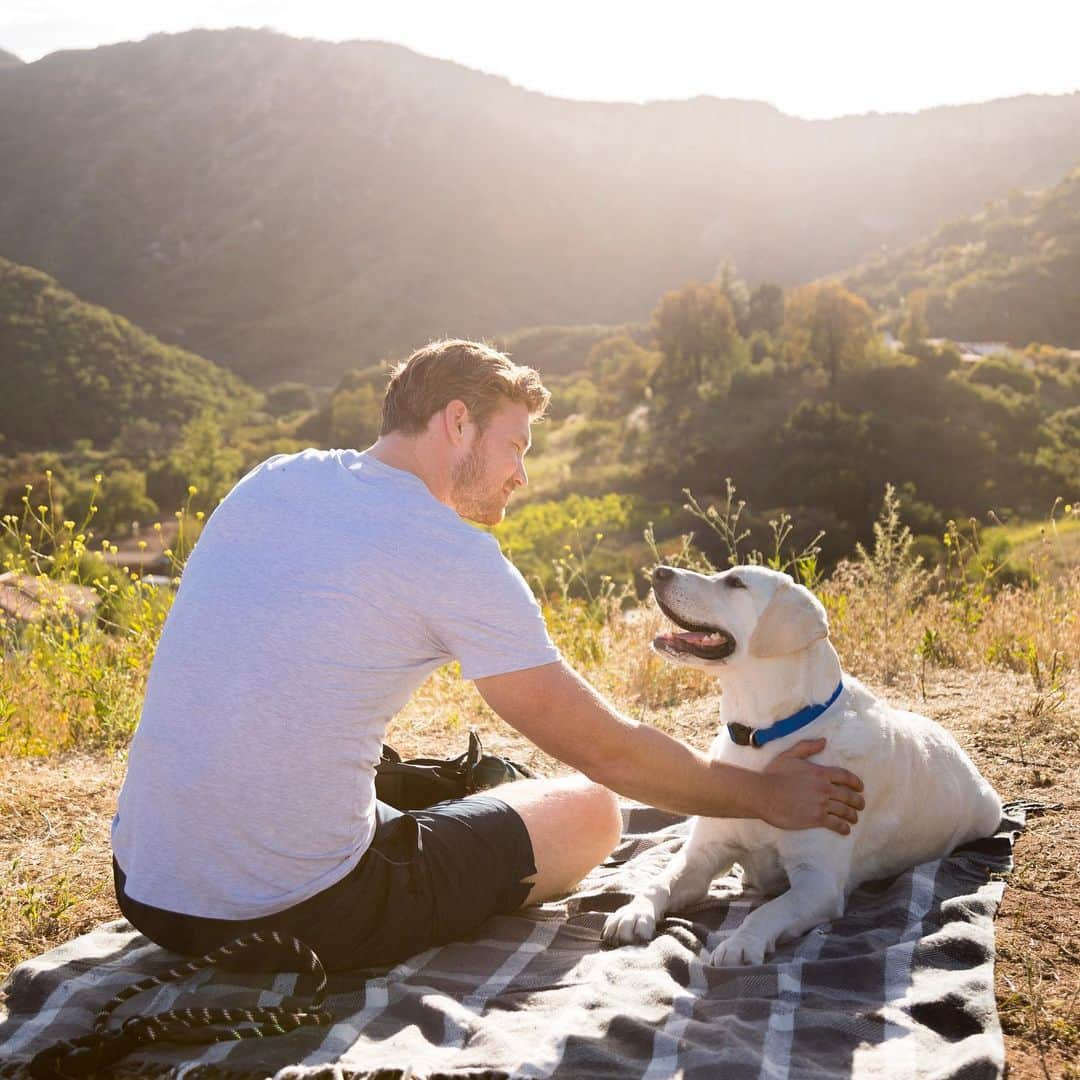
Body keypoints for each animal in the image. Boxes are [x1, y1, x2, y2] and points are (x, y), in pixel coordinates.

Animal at [600, 570, 1002, 967]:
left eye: (735, 583)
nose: (658, 572)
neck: (764, 735)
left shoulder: (817, 883)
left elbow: (768, 911)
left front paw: (742, 942)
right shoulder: (702, 854)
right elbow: (660, 880)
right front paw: (633, 912)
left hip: (988, 813)